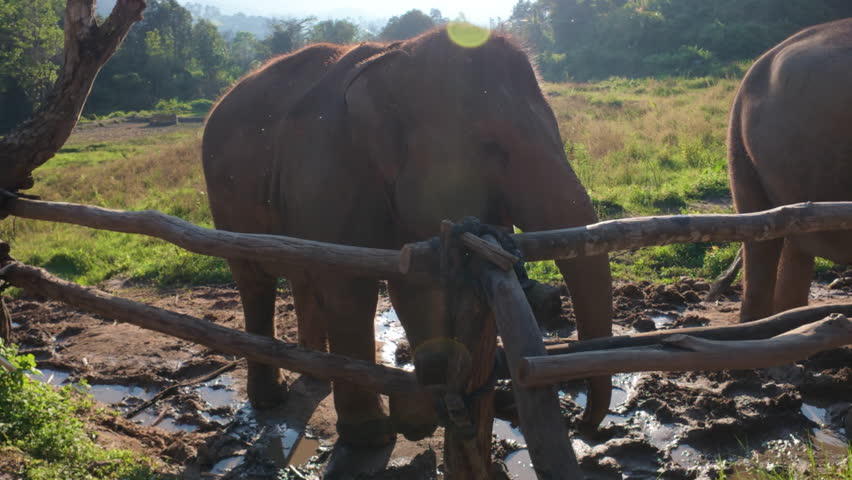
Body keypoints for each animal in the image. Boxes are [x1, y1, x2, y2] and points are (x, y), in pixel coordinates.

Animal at [202, 26, 613, 447]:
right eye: (493, 147)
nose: (584, 425)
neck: (396, 60)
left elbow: (416, 286)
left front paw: (421, 420)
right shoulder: (325, 173)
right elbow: (348, 288)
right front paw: (371, 435)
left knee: (303, 276)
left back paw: (314, 374)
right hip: (224, 205)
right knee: (255, 281)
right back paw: (272, 398)